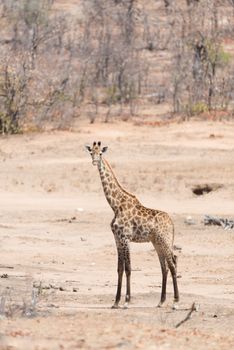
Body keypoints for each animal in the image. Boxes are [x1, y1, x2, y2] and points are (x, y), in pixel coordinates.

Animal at [85, 141, 179, 308]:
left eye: (100, 153)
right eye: (91, 153)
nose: (94, 162)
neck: (115, 205)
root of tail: (172, 223)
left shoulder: (125, 238)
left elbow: (128, 268)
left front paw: (127, 302)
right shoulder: (117, 239)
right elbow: (119, 268)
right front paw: (116, 302)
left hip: (165, 240)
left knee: (173, 264)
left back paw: (175, 302)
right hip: (157, 242)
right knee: (164, 267)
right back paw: (161, 301)